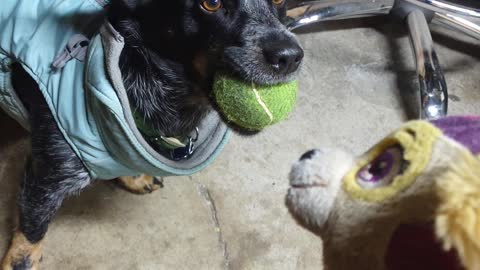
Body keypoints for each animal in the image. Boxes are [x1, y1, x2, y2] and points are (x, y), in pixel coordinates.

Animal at [0, 0, 304, 268]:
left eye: (280, 0)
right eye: (211, 3)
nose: (290, 57)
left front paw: (133, 177)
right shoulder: (45, 180)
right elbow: (32, 232)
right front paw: (20, 262)